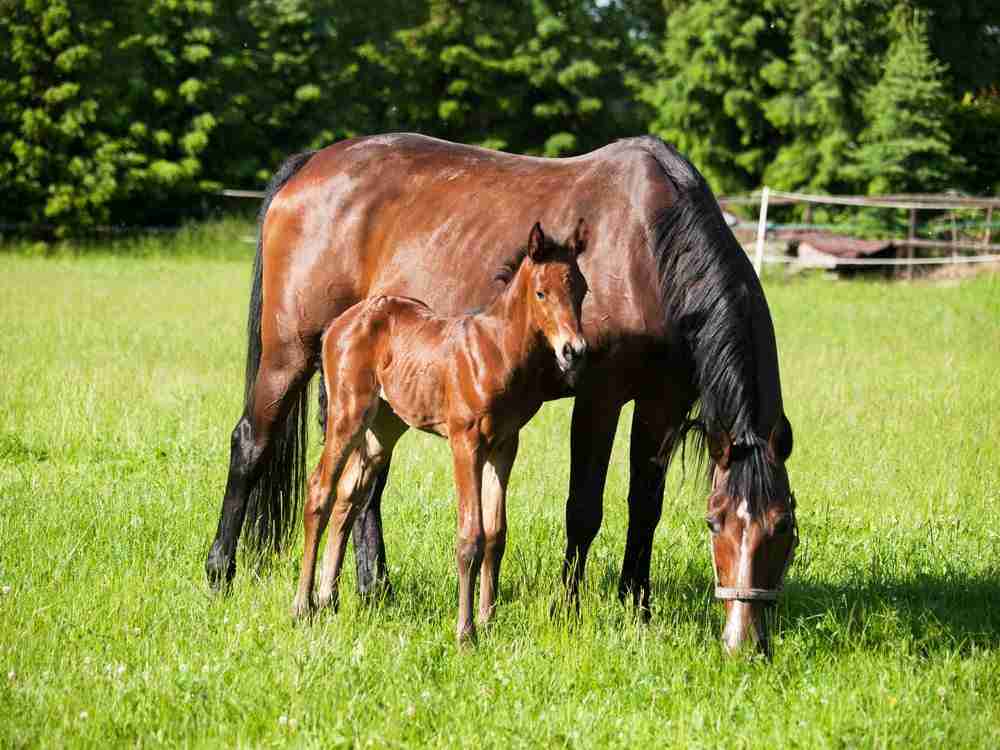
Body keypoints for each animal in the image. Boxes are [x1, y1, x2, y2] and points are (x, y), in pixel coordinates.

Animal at [292, 221, 589, 642]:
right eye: (541, 292)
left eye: (582, 289)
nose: (573, 351)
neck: (496, 352)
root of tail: (339, 324)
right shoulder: (466, 442)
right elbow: (471, 536)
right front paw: (466, 632)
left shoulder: (505, 445)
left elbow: (496, 533)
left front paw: (488, 620)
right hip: (347, 415)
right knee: (321, 489)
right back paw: (302, 605)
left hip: (382, 428)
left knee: (348, 497)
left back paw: (327, 600)